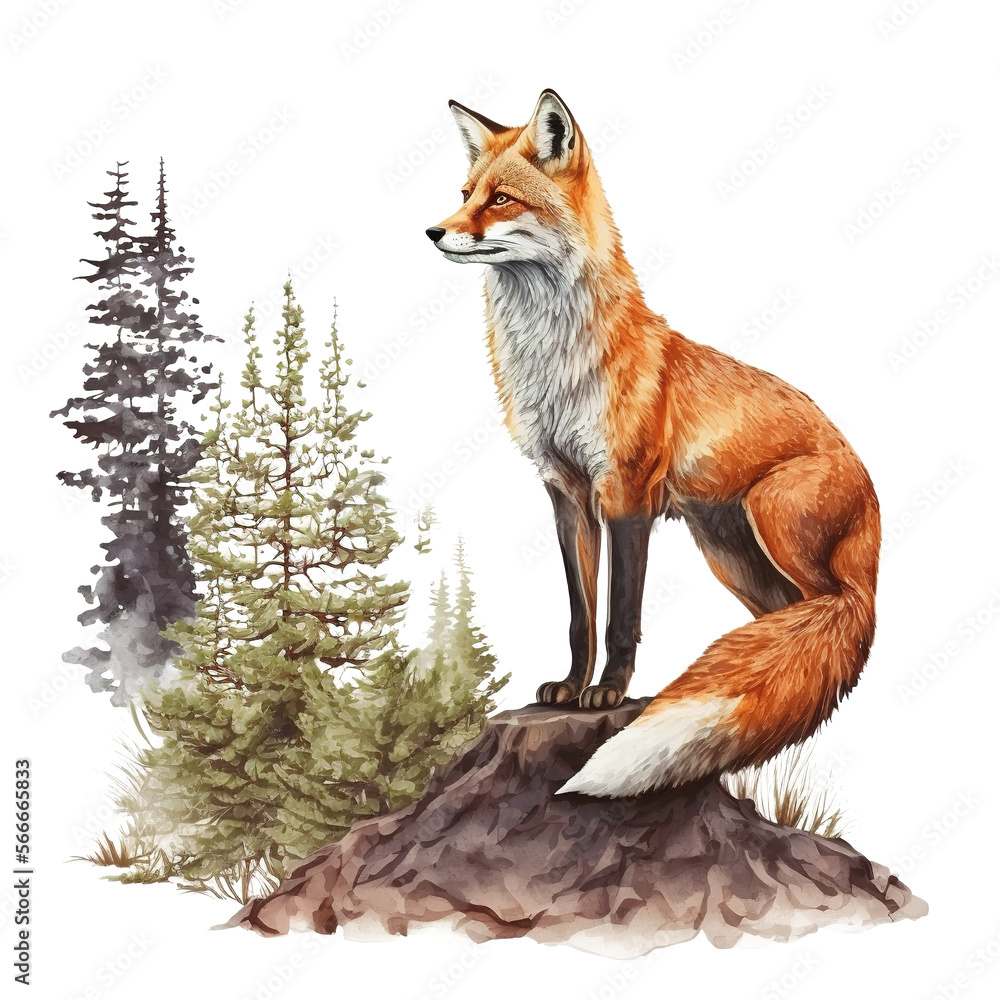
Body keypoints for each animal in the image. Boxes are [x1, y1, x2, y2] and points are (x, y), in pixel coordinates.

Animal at [426, 90, 880, 798]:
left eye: (500, 200)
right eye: (466, 193)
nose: (434, 231)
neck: (557, 364)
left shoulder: (627, 491)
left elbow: (620, 616)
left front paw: (609, 693)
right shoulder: (567, 493)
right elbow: (580, 614)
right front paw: (571, 686)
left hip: (775, 520)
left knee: (821, 626)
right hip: (731, 556)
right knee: (789, 641)